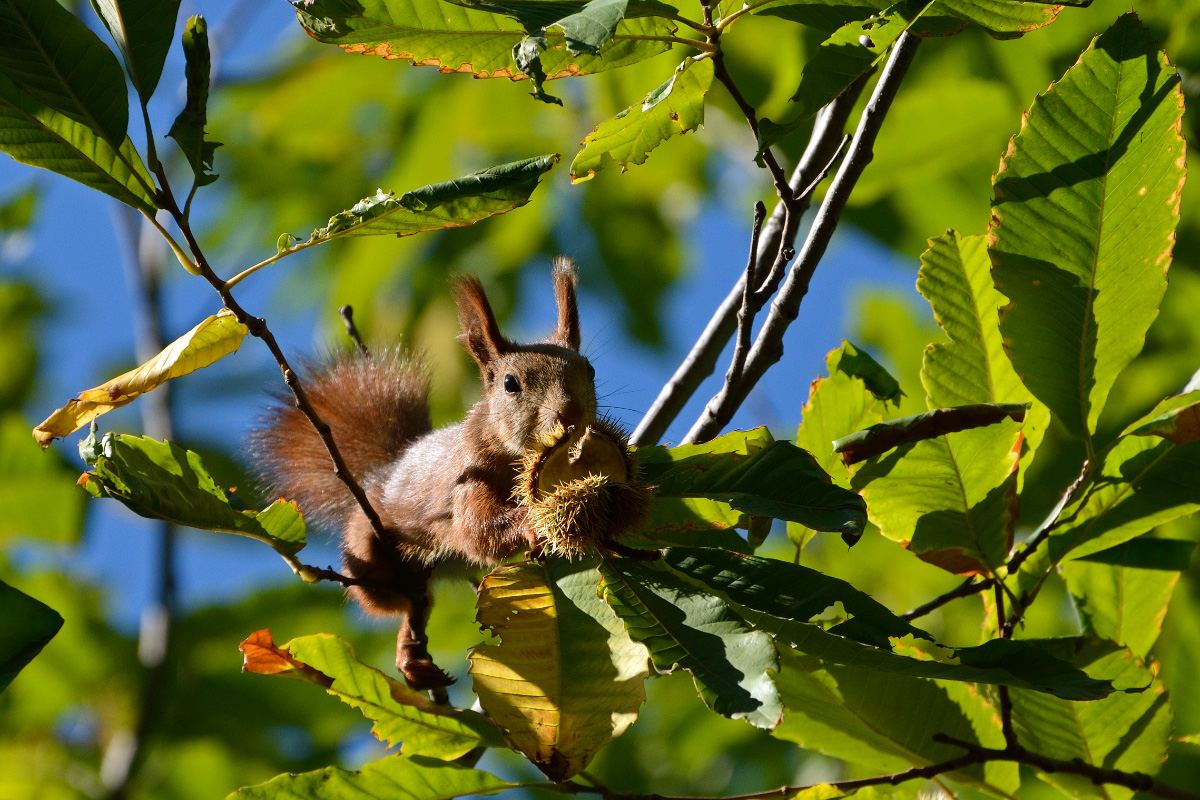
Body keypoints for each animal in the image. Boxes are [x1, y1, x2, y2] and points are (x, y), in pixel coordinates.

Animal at [250, 257, 597, 690]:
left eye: (591, 371)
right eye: (510, 384)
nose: (571, 414)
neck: (514, 459)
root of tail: (384, 472)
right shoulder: (466, 480)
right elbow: (476, 531)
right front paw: (529, 525)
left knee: (421, 605)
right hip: (367, 554)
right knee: (397, 599)